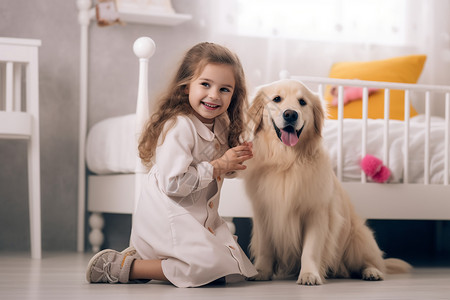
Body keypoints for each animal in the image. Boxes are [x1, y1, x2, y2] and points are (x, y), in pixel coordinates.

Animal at [243, 78, 412, 284]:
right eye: (277, 99)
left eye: (302, 102)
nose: (290, 114)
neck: (287, 161)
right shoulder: (264, 213)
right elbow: (265, 248)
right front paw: (261, 271)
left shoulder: (317, 213)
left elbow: (310, 249)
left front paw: (309, 274)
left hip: (358, 236)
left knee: (370, 261)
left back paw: (372, 272)